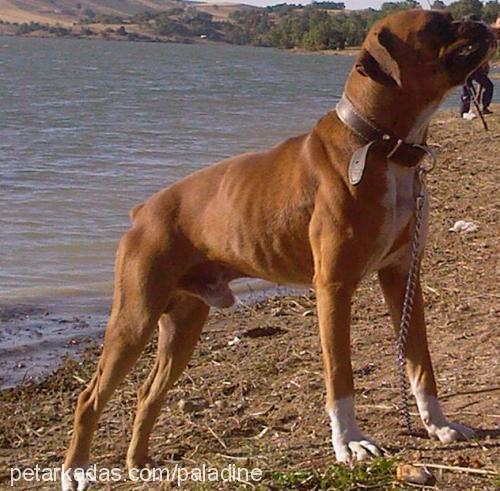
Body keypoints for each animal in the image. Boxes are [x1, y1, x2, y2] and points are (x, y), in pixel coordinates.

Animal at [62, 8, 496, 491]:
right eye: (438, 24)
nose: (479, 18)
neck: (379, 145)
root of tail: (143, 210)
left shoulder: (403, 278)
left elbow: (421, 362)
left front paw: (438, 425)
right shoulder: (333, 288)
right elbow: (340, 375)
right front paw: (350, 444)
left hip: (182, 325)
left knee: (146, 392)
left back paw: (138, 463)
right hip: (133, 319)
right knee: (89, 397)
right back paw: (75, 471)